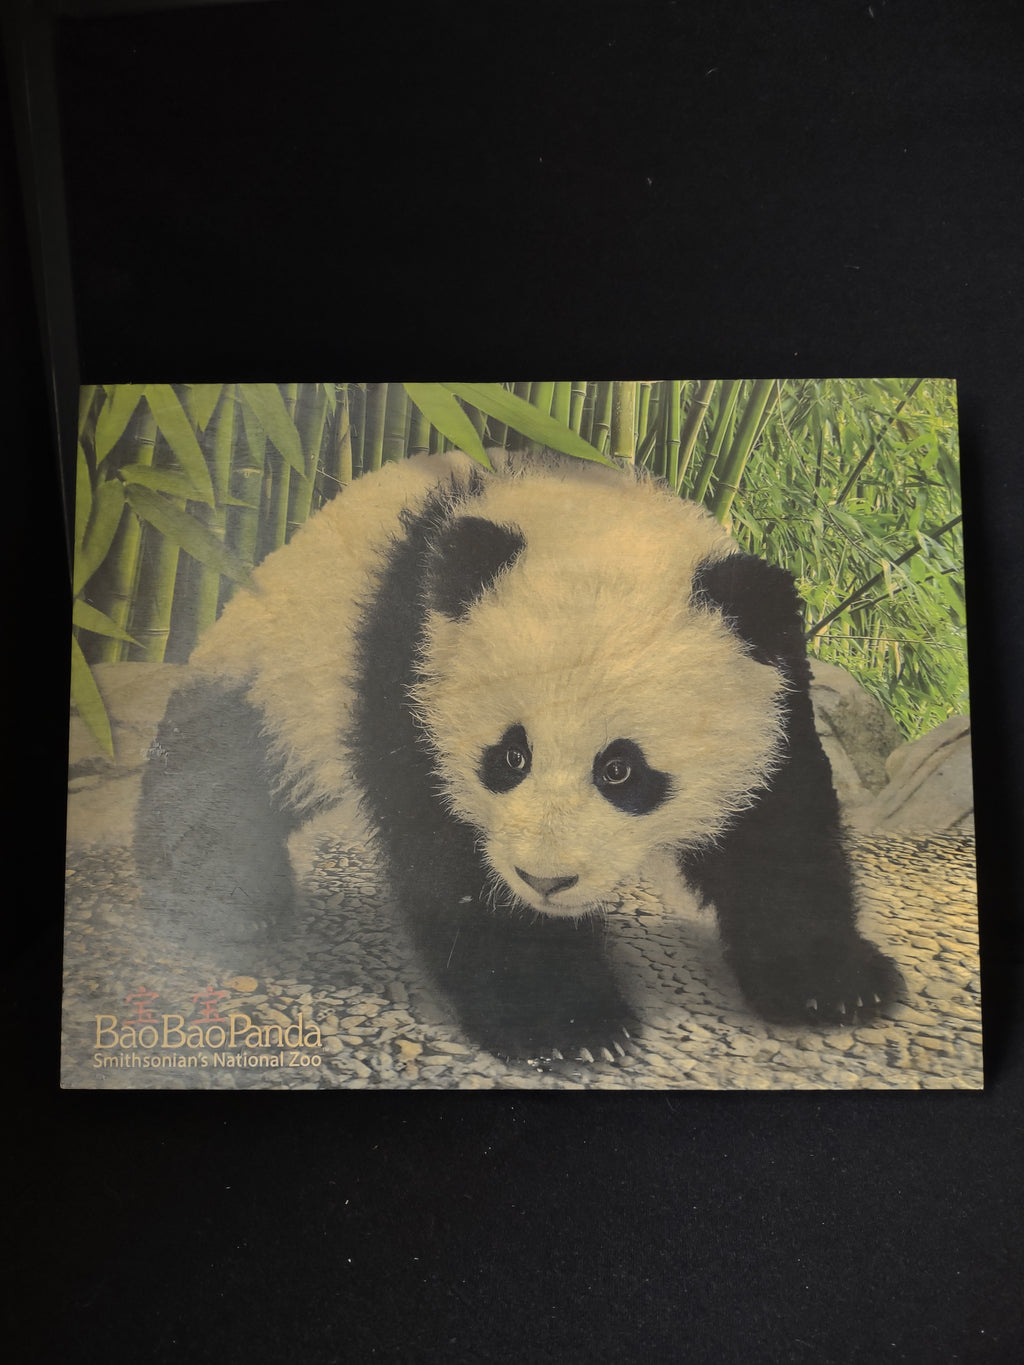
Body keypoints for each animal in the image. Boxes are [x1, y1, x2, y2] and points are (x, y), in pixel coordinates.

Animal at [136, 449, 902, 1060]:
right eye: (509, 757)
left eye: (621, 769)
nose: (547, 880)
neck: (595, 521)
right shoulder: (409, 668)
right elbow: (451, 852)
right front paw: (565, 1024)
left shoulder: (769, 688)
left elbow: (777, 831)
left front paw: (835, 988)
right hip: (282, 667)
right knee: (224, 766)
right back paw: (225, 892)